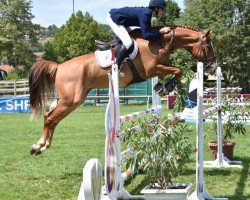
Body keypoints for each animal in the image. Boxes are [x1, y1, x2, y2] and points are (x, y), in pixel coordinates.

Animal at [28, 25, 217, 155]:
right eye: (209, 47)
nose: (213, 68)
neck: (158, 42)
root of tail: (59, 67)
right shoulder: (152, 69)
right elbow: (179, 70)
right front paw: (166, 87)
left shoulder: (157, 69)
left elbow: (177, 70)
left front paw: (161, 86)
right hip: (70, 100)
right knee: (49, 118)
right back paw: (39, 145)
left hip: (74, 100)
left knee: (52, 119)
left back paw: (42, 146)